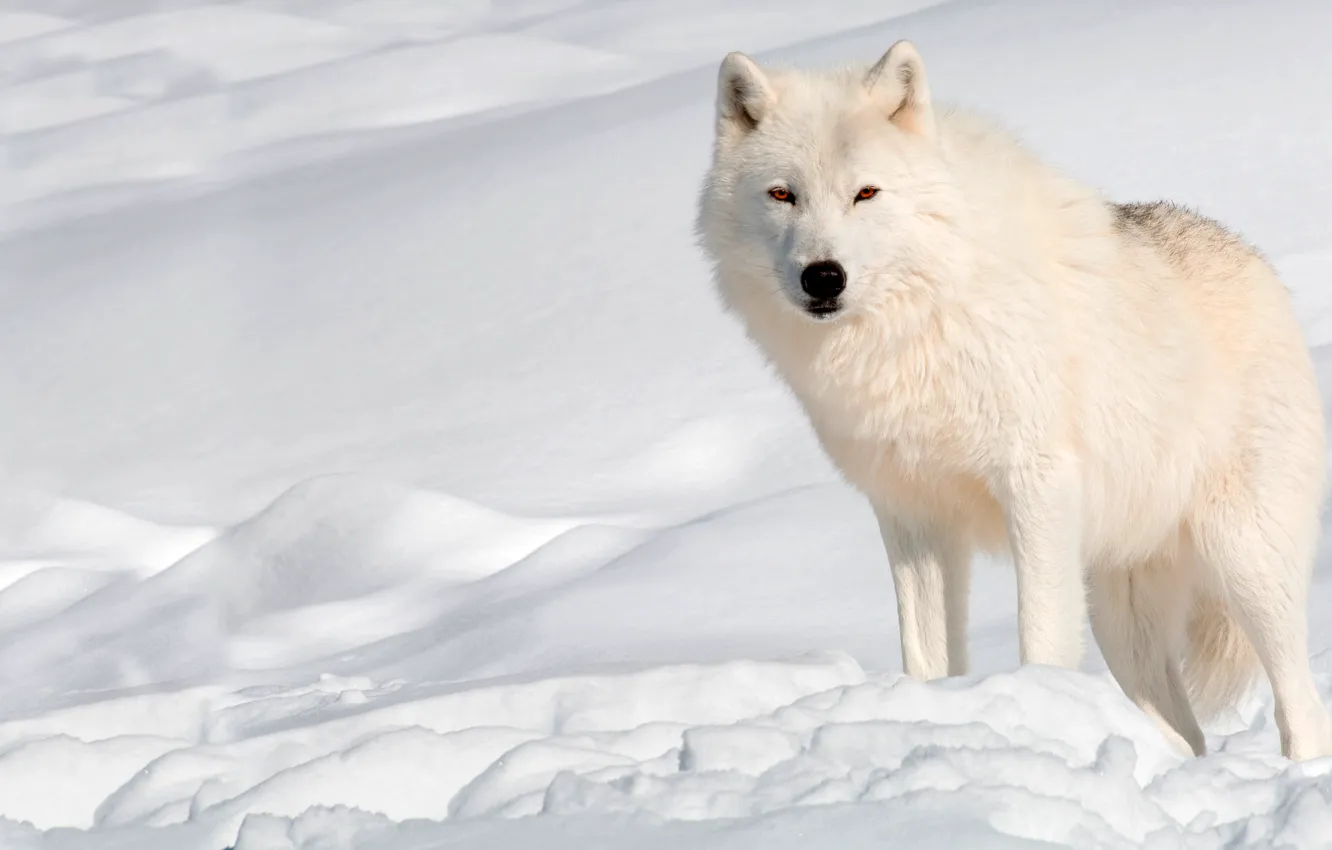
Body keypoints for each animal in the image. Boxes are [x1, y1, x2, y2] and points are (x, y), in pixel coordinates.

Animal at [695, 40, 1332, 761]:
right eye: (783, 195)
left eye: (866, 193)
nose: (822, 277)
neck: (919, 324)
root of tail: (1261, 268)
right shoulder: (912, 514)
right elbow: (927, 656)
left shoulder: (1036, 485)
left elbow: (1041, 636)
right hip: (1122, 617)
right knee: (1184, 735)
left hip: (1245, 564)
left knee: (1302, 708)